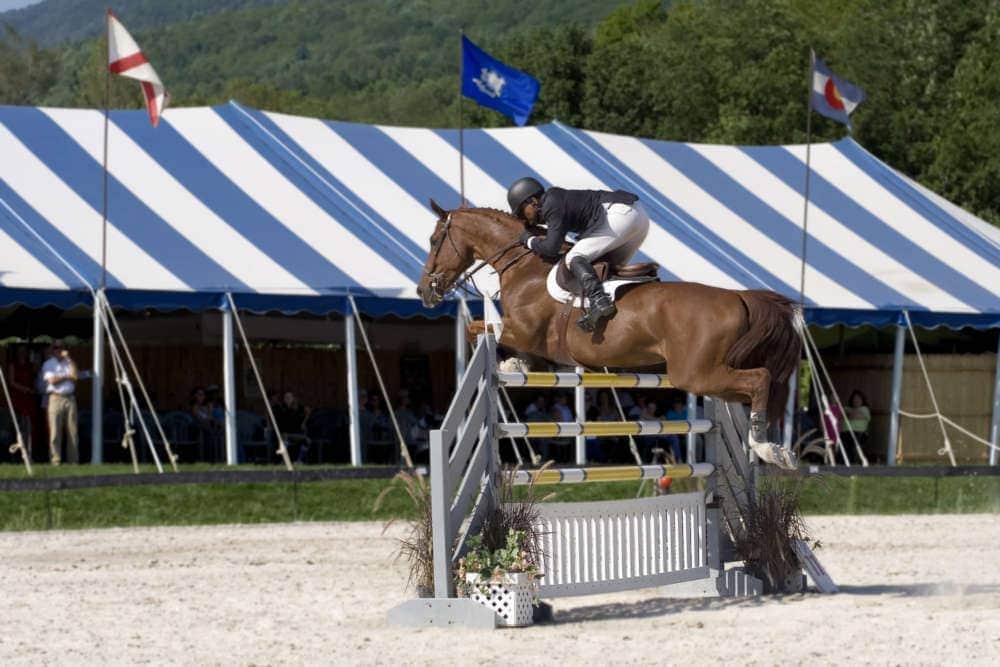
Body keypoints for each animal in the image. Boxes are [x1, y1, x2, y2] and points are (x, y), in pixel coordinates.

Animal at [416, 201, 802, 468]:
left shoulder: (521, 330)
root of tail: (737, 296)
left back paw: (768, 449)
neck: (525, 267)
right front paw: (517, 365)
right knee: (755, 384)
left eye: (435, 240)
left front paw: (510, 364)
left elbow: (478, 329)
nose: (424, 291)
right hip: (712, 374)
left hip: (697, 374)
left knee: (759, 379)